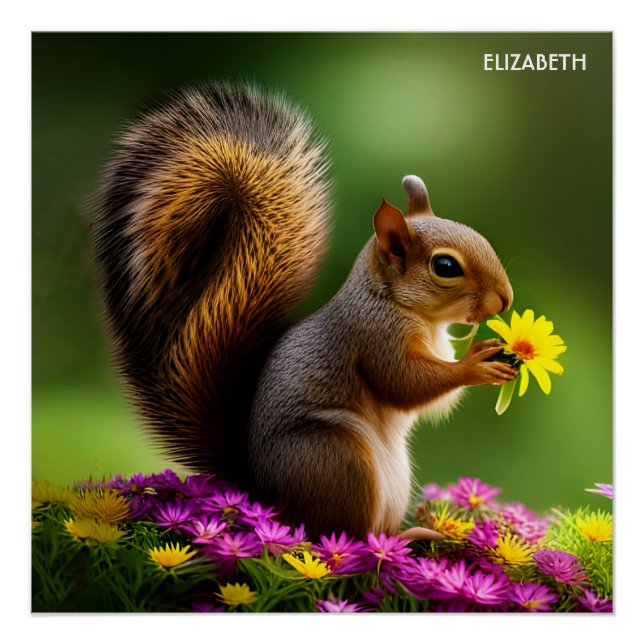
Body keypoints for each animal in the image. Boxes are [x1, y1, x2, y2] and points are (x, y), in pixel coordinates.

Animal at [92, 82, 516, 539]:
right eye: (446, 267)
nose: (506, 299)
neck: (398, 304)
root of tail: (264, 494)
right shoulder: (373, 336)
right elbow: (403, 382)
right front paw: (475, 364)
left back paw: (411, 533)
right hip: (336, 457)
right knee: (341, 534)